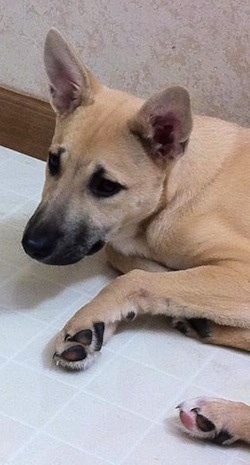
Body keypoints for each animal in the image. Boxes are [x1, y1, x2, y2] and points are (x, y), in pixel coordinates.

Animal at [22, 29, 249, 446]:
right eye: (53, 162)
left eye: (106, 186)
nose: (32, 246)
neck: (173, 191)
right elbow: (132, 262)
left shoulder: (242, 270)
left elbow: (135, 279)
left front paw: (91, 318)